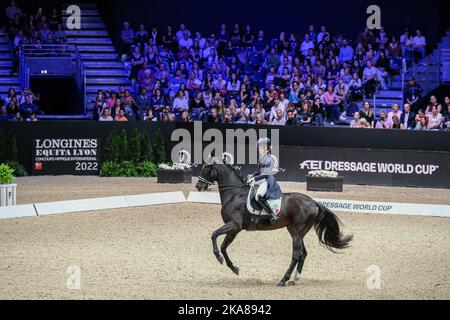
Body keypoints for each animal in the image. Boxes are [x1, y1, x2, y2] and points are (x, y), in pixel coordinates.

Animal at [195, 162, 354, 288]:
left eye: (206, 170)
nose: (198, 186)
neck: (234, 194)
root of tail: (313, 202)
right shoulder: (233, 230)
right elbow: (223, 246)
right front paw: (234, 268)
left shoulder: (234, 226)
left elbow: (214, 235)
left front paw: (219, 257)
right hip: (295, 231)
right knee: (303, 254)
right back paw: (295, 279)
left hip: (297, 232)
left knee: (296, 255)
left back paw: (283, 280)